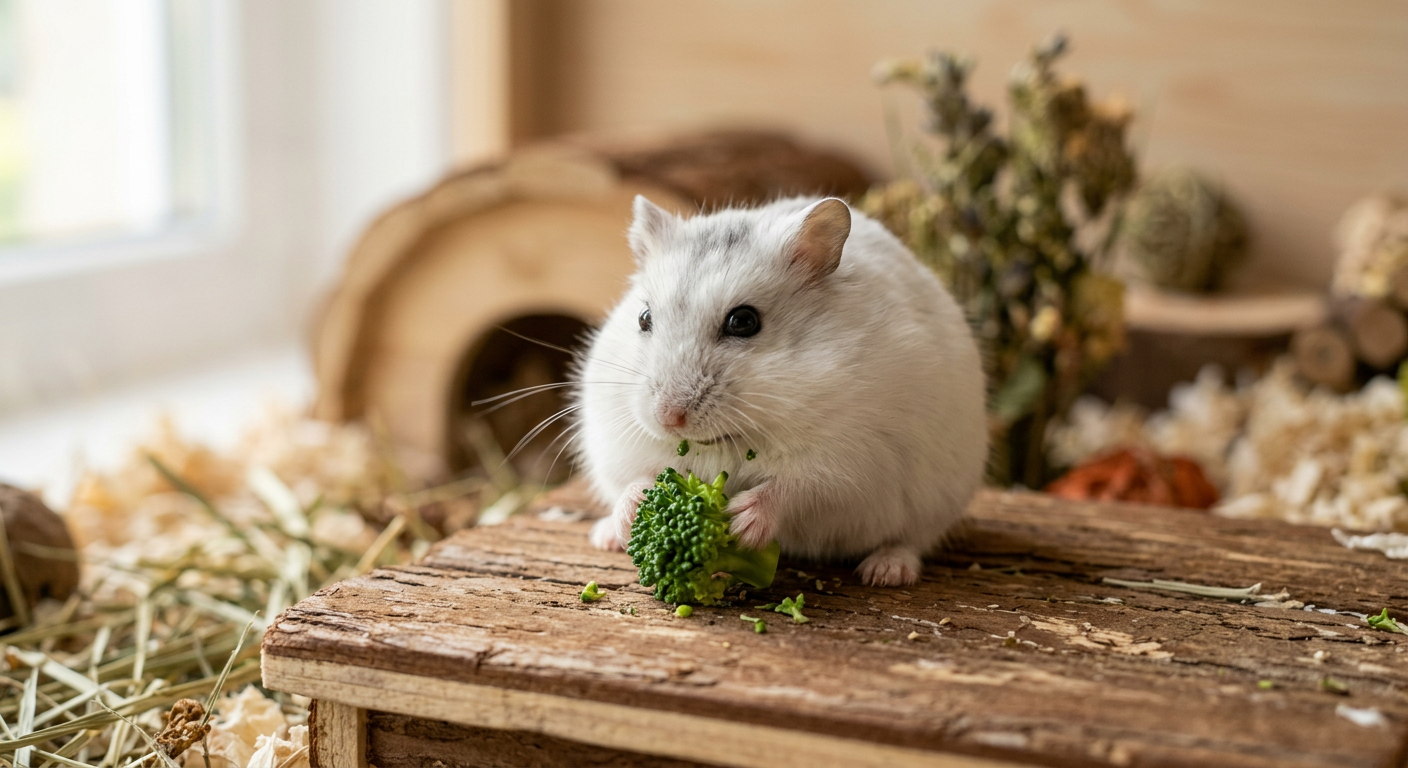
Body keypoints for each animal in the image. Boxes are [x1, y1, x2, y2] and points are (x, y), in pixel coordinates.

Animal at [574, 195, 987, 586]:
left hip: (935, 502)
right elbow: (635, 480)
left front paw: (740, 523)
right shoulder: (619, 447)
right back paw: (605, 536)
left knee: (911, 540)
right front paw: (636, 511)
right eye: (644, 319)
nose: (668, 418)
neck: (733, 439)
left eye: (743, 321)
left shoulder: (850, 465)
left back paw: (885, 572)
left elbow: (793, 488)